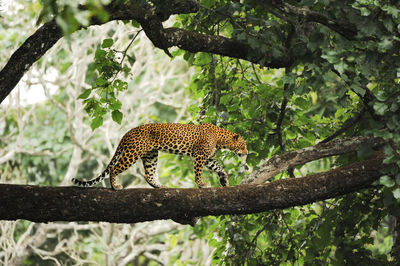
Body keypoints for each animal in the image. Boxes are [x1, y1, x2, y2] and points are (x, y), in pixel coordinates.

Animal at [71, 123, 247, 190]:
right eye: (243, 145)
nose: (246, 153)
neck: (220, 138)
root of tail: (127, 133)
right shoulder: (200, 156)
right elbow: (198, 172)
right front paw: (202, 184)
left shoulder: (208, 158)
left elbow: (220, 168)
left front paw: (224, 181)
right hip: (132, 153)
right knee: (114, 168)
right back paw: (116, 186)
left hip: (151, 155)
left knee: (148, 174)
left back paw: (159, 186)